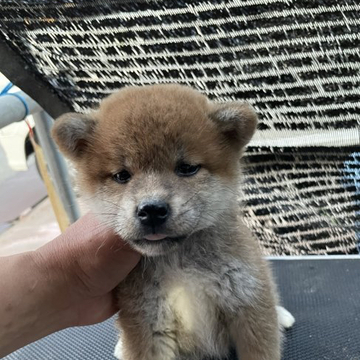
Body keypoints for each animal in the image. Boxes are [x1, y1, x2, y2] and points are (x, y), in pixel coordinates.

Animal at [52, 85, 294, 360]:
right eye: (122, 175)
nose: (152, 210)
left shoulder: (248, 304)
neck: (181, 266)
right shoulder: (148, 323)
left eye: (186, 168)